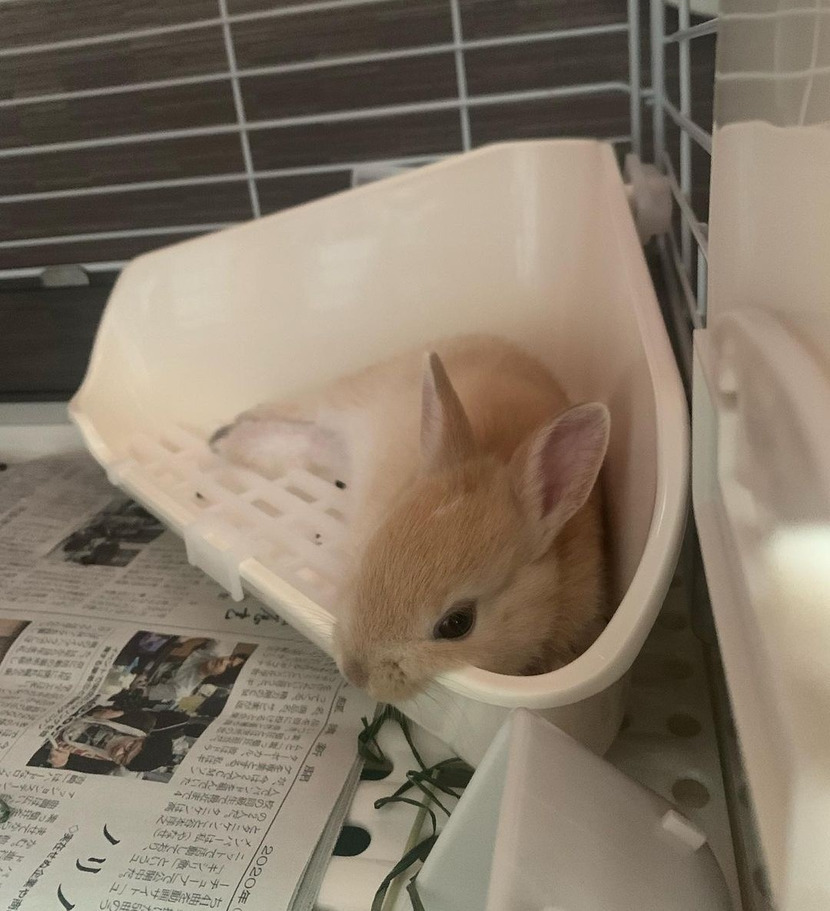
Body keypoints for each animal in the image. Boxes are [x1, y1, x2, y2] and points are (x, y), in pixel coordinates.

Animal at [210, 334, 610, 703]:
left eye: (457, 624)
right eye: (372, 554)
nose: (354, 672)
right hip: (347, 398)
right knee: (298, 409)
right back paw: (225, 435)